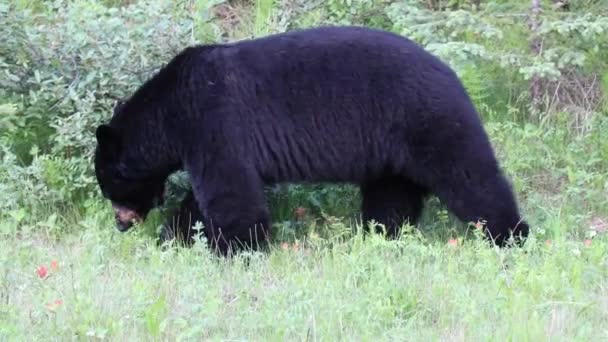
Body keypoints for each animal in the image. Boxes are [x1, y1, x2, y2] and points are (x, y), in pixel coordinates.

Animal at [94, 26, 528, 254]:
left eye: (109, 185)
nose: (120, 224)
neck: (169, 111)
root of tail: (453, 75)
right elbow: (205, 199)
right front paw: (175, 238)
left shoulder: (213, 122)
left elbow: (229, 193)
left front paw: (237, 248)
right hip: (392, 151)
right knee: (391, 197)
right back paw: (376, 237)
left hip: (430, 123)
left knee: (471, 179)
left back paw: (512, 236)